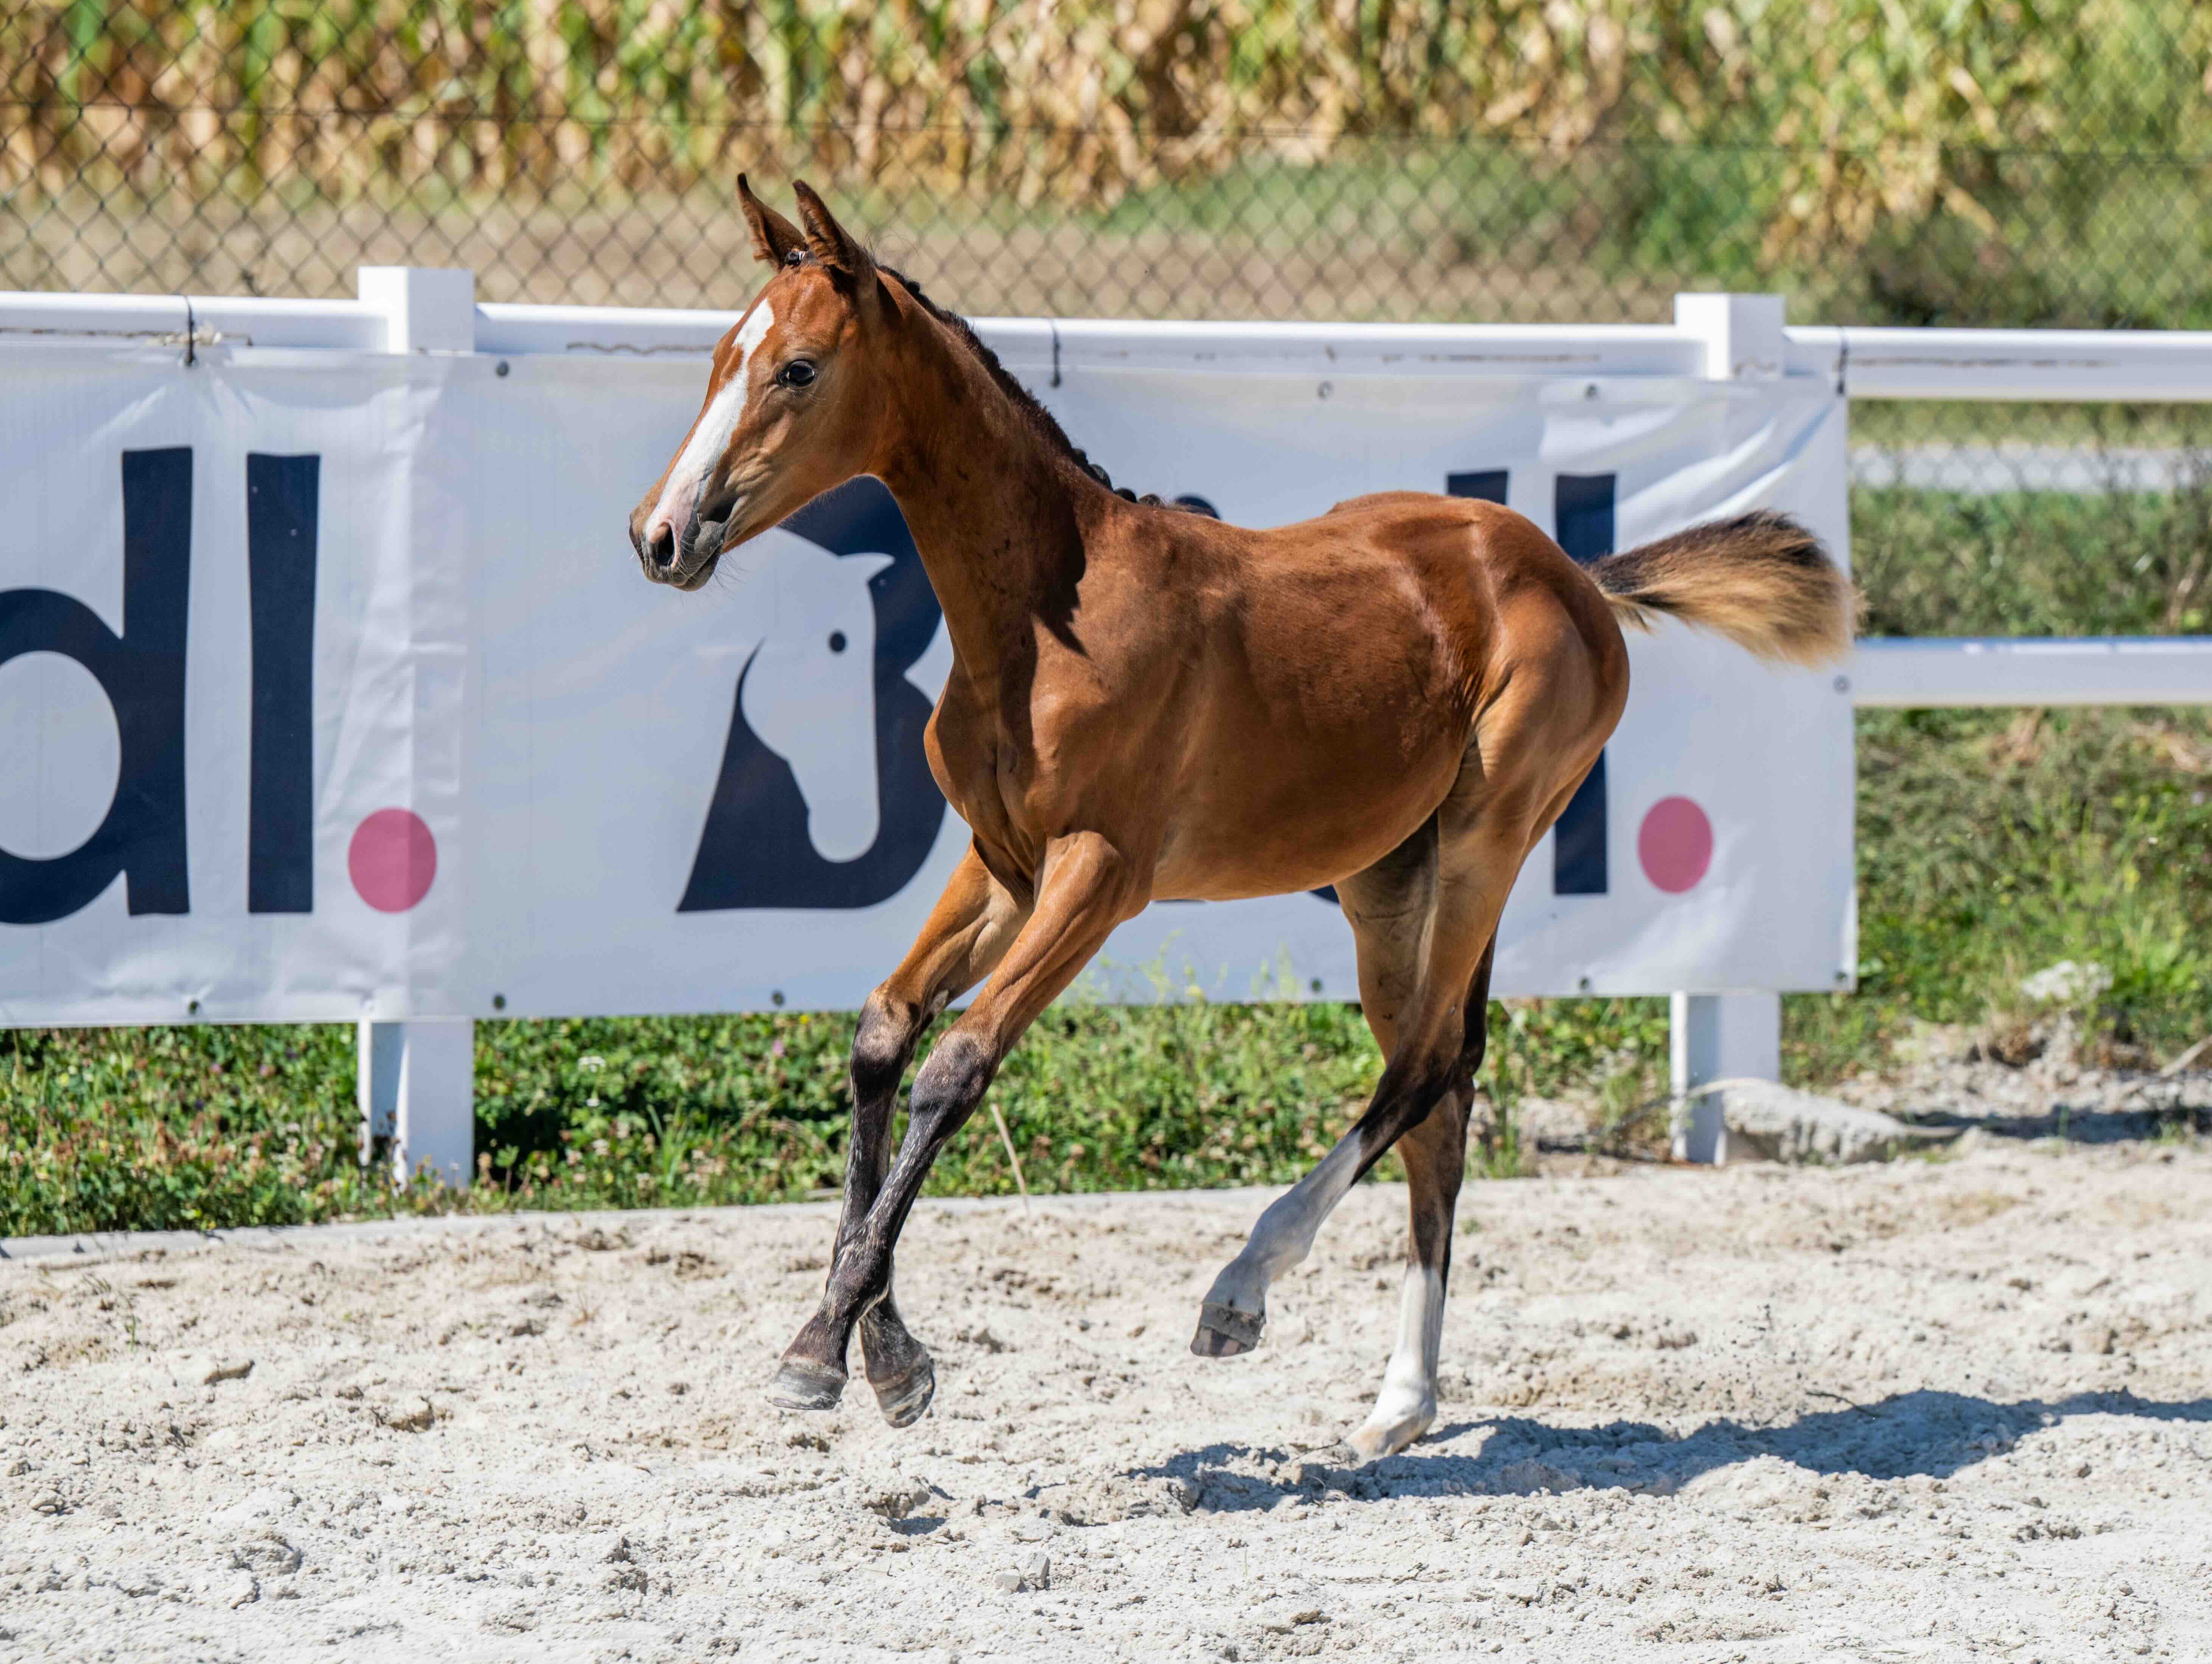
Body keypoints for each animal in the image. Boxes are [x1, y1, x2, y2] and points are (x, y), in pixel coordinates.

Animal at [628, 179, 1855, 1461]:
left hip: (1491, 835)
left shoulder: (1098, 876)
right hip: (1387, 880)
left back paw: (1241, 1292)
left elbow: (957, 1063)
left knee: (1428, 1059)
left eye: (799, 369)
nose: (662, 535)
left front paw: (825, 1351)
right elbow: (882, 1036)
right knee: (1438, 1089)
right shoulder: (1000, 863)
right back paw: (1400, 1403)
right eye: (719, 359)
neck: (1042, 621)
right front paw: (882, 1354)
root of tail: (1571, 570)